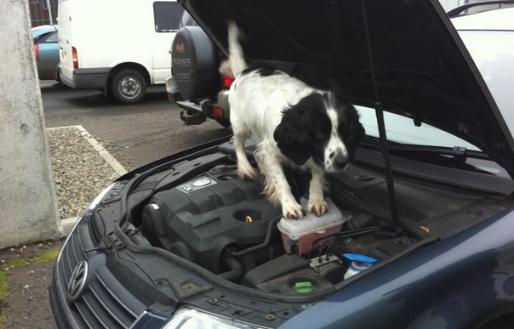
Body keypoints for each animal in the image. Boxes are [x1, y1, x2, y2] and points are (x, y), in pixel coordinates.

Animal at [226, 22, 362, 218]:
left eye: (346, 132)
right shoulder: (271, 151)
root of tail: (244, 71)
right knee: (238, 143)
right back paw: (244, 167)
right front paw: (290, 205)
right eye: (319, 133)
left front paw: (316, 199)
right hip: (240, 124)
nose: (342, 162)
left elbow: (317, 176)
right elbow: (282, 181)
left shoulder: (316, 154)